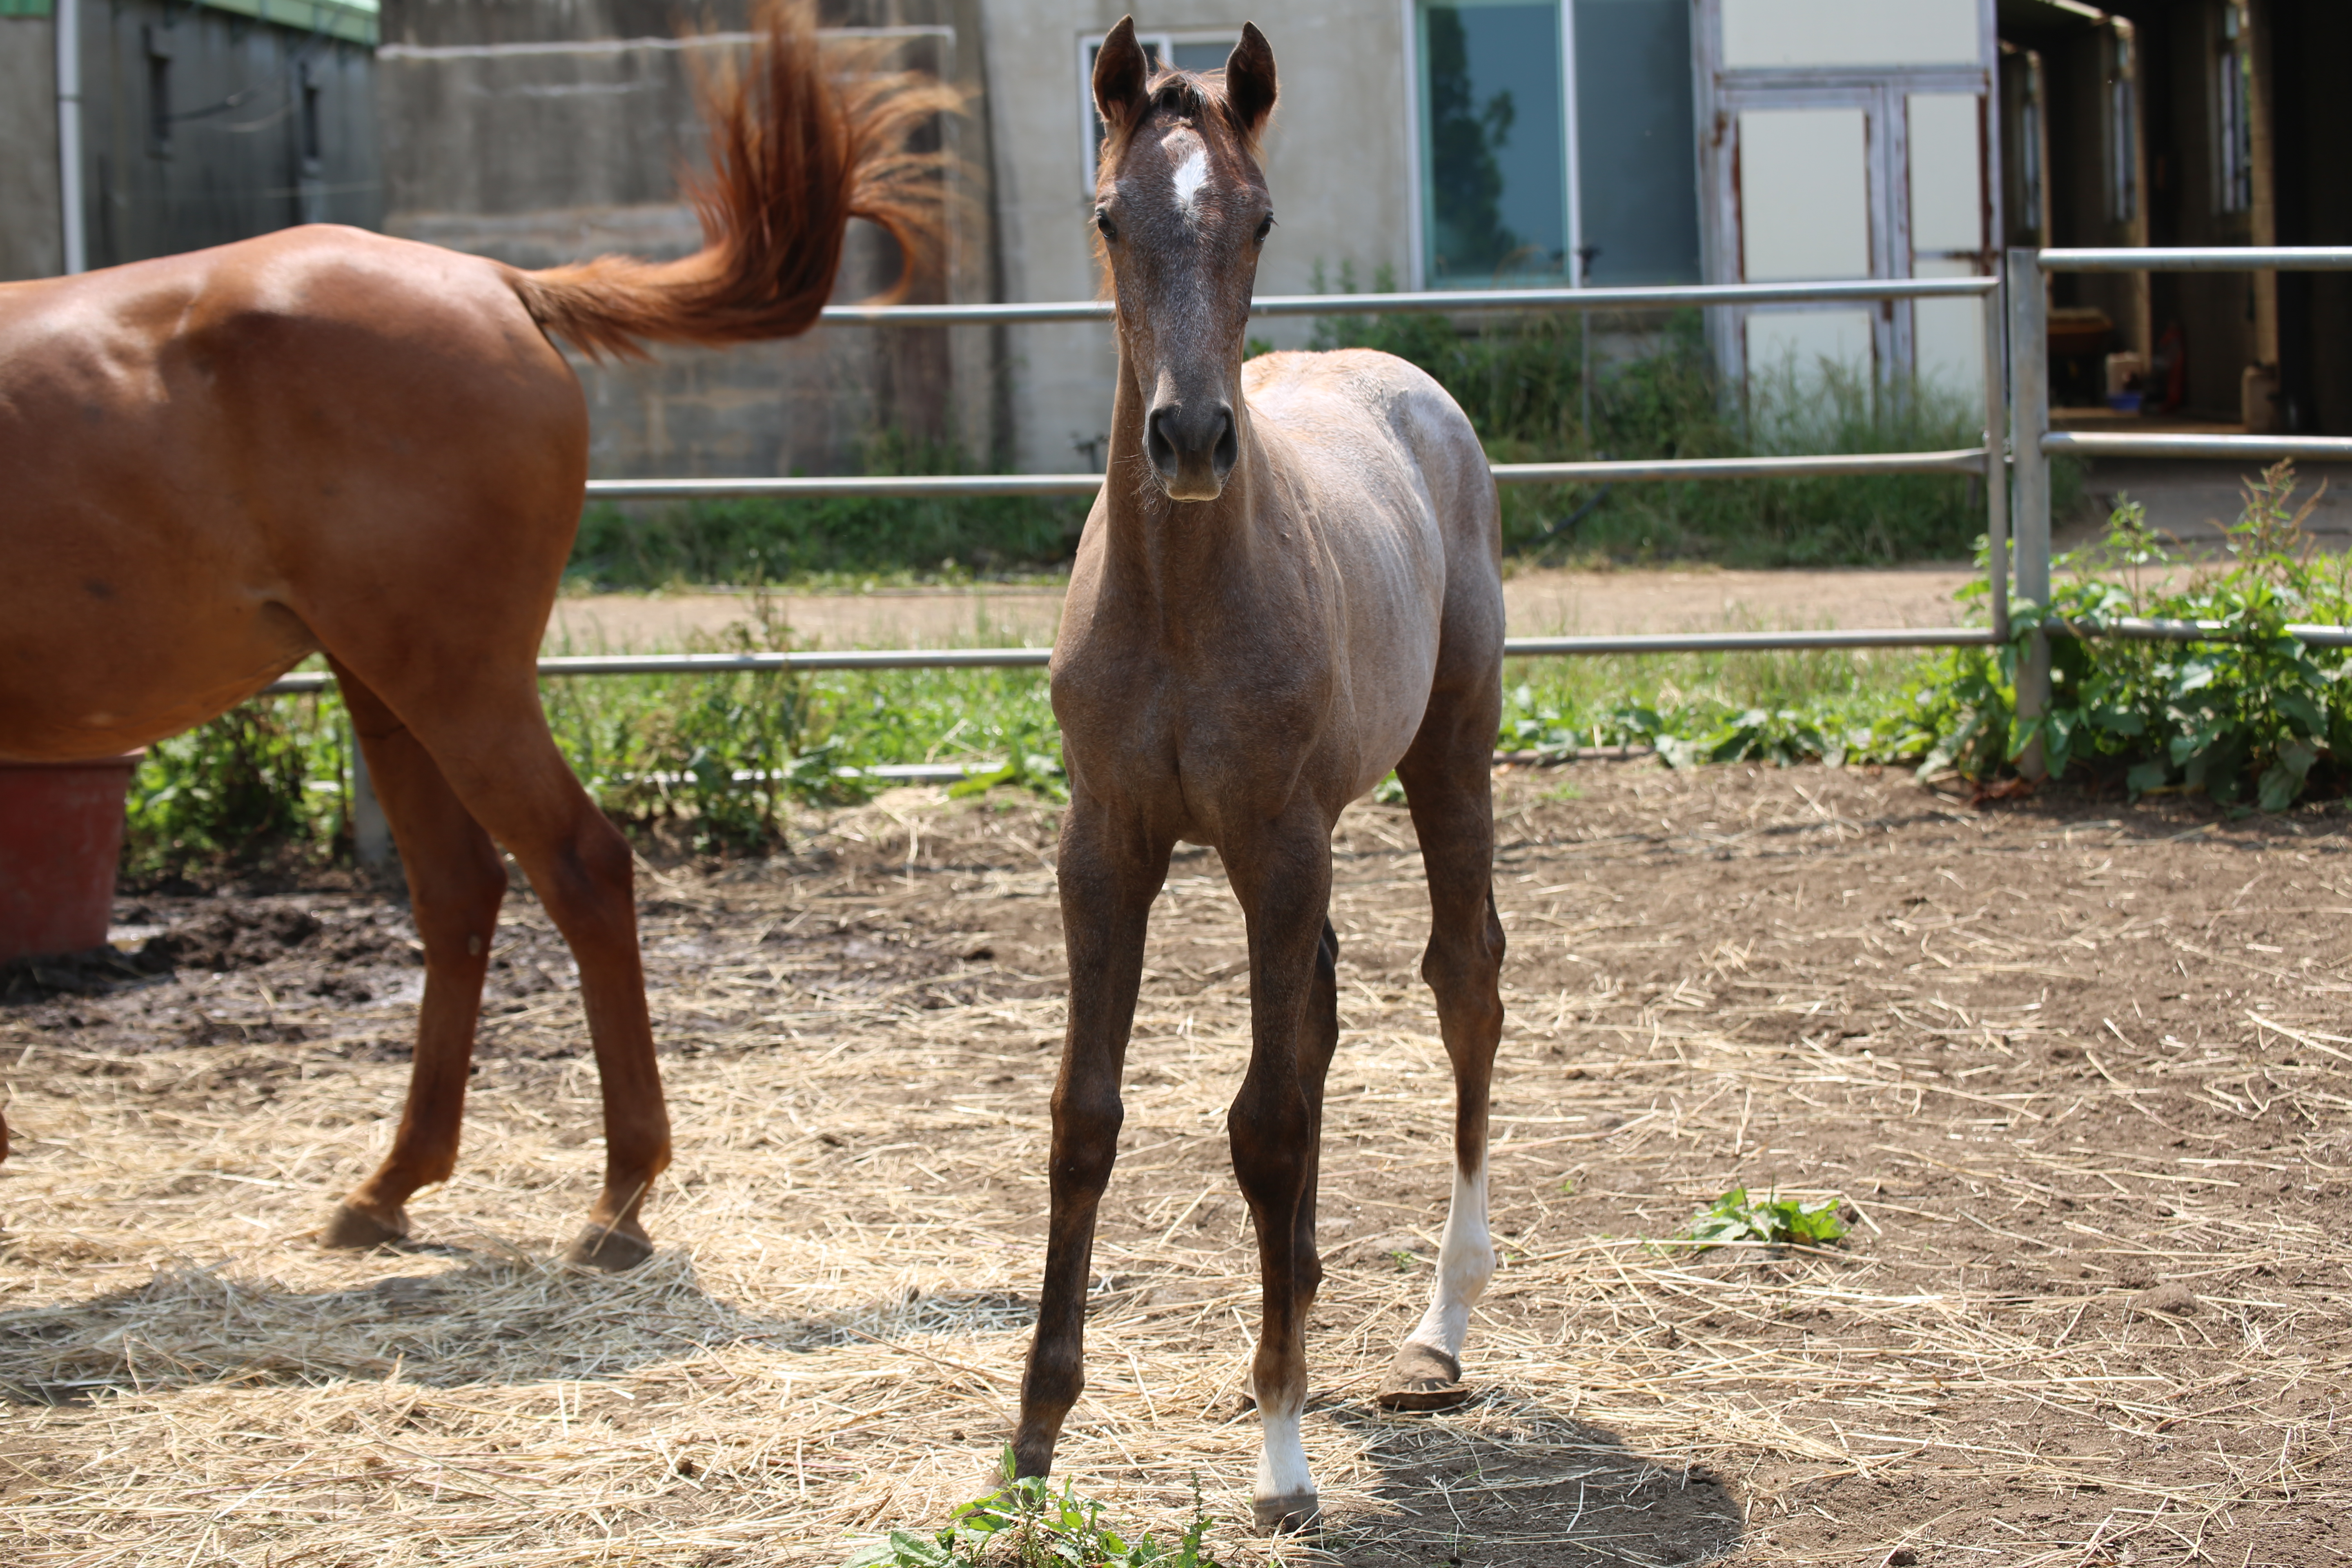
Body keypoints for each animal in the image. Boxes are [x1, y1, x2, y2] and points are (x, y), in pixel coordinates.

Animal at [0, 0, 945, 1269]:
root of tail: (503, 284)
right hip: (385, 684)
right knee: (460, 894)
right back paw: (392, 1183)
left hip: (452, 681)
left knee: (577, 865)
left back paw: (617, 1195)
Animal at [1011, 15, 1505, 1532]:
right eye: (1109, 216)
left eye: (1263, 218)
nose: (1189, 440)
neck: (1181, 599)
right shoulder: (1108, 843)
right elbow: (1087, 1115)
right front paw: (1033, 1435)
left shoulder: (1278, 841)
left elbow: (1267, 1122)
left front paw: (1284, 1457)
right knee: (1331, 1014)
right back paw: (1306, 1293)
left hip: (1451, 748)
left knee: (1465, 983)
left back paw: (1435, 1327)